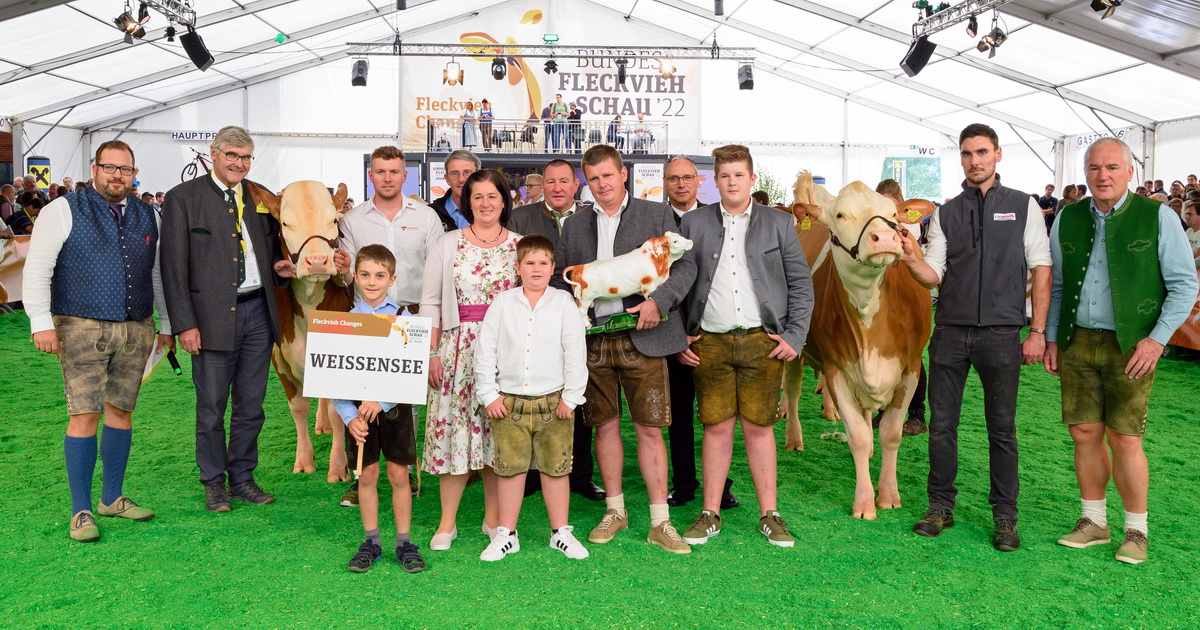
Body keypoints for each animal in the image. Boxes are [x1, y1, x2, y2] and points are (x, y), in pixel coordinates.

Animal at [247, 180, 350, 482]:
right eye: (284, 222)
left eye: (334, 220)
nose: (316, 261)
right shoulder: (278, 356)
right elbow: (299, 406)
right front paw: (304, 460)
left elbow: (340, 412)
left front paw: (338, 466)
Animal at [792, 170, 931, 516]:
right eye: (841, 215)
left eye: (894, 214)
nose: (885, 238)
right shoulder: (835, 368)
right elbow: (856, 436)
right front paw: (865, 502)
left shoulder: (910, 368)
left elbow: (891, 433)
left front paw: (889, 494)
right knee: (792, 390)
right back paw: (793, 437)